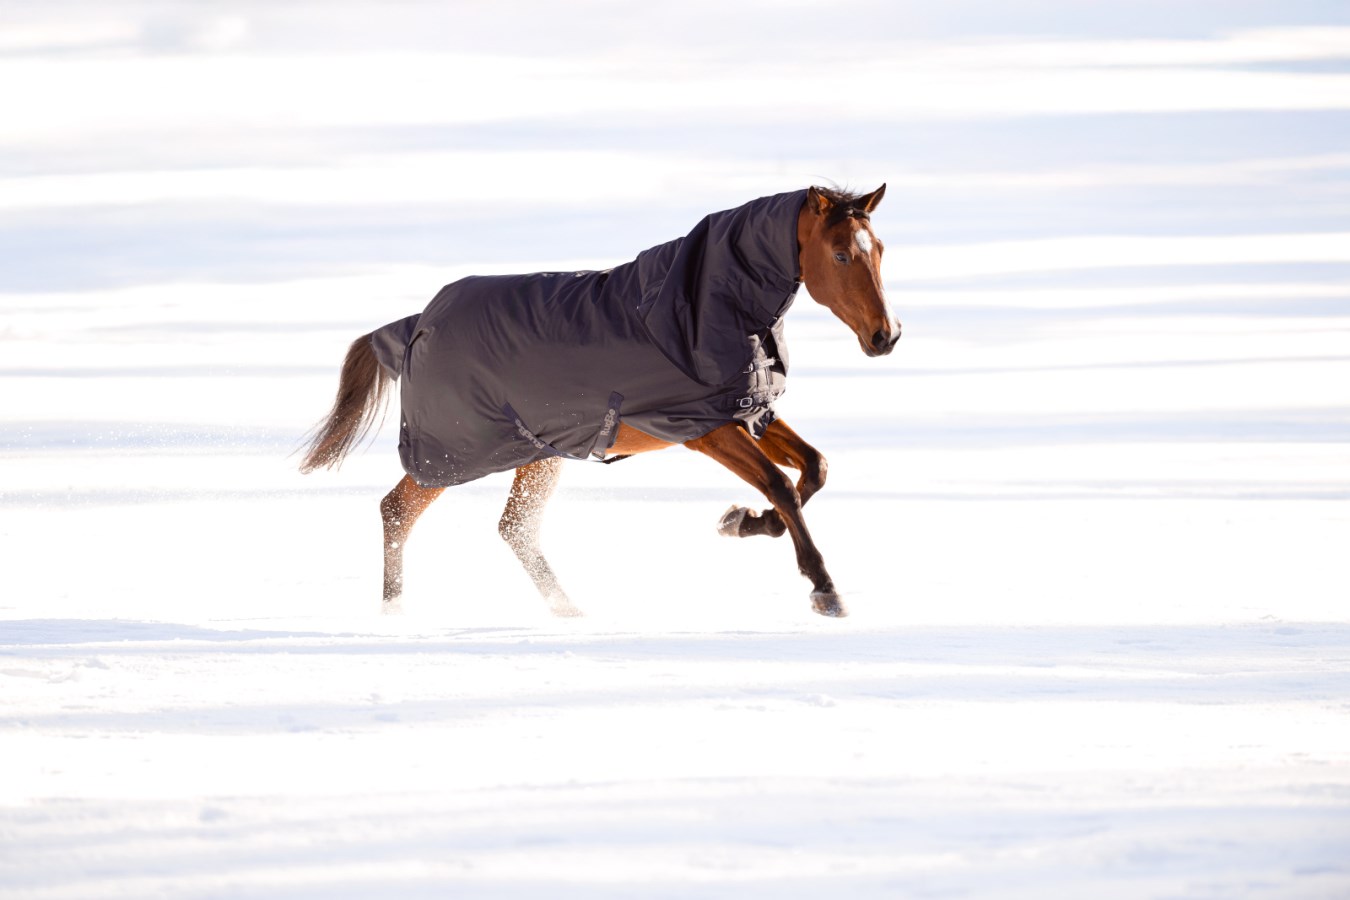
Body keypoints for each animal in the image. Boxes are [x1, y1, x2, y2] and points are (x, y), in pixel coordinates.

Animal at [299, 184, 896, 617]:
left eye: (881, 251)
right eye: (841, 254)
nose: (885, 337)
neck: (702, 306)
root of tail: (416, 324)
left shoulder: (746, 410)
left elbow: (814, 469)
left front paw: (742, 520)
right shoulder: (703, 427)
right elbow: (782, 486)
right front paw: (823, 588)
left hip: (532, 454)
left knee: (511, 528)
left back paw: (568, 611)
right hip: (455, 453)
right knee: (398, 511)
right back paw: (395, 615)